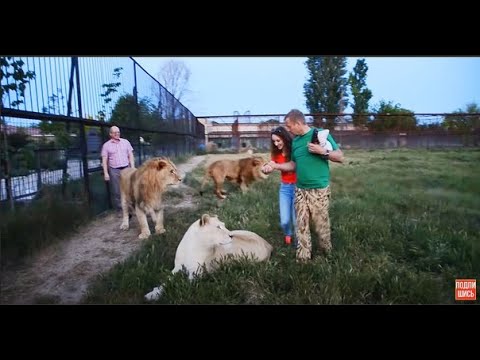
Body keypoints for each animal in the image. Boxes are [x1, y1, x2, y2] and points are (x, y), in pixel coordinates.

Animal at [143, 214, 274, 300]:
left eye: (223, 226)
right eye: (218, 227)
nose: (231, 235)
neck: (193, 247)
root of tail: (269, 245)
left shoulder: (195, 276)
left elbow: (180, 286)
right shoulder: (177, 268)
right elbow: (165, 281)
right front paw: (152, 294)